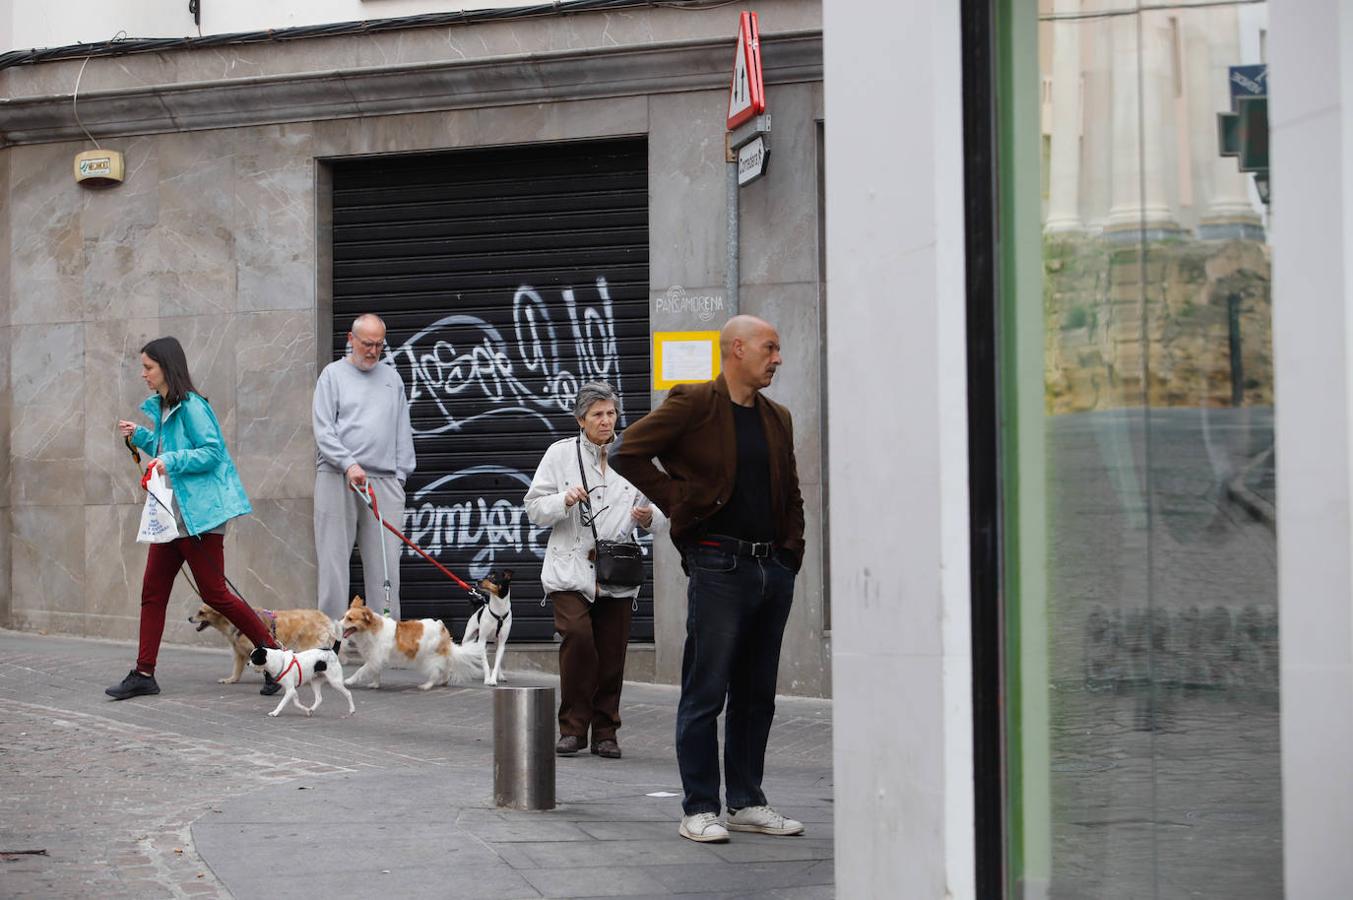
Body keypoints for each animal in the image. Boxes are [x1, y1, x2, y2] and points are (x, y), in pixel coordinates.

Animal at [189, 603, 338, 682]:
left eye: (201, 612)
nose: (189, 618)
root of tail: (325, 618)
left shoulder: (256, 647)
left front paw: (259, 669)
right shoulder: (239, 653)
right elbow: (237, 669)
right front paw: (231, 680)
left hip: (309, 646)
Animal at [336, 592, 481, 690]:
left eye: (350, 619)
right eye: (344, 617)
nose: (338, 624)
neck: (370, 630)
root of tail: (441, 626)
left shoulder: (375, 658)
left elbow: (360, 670)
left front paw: (349, 680)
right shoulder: (375, 659)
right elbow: (375, 672)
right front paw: (375, 684)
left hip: (428, 658)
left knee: (435, 672)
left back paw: (427, 685)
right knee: (444, 669)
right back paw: (443, 681)